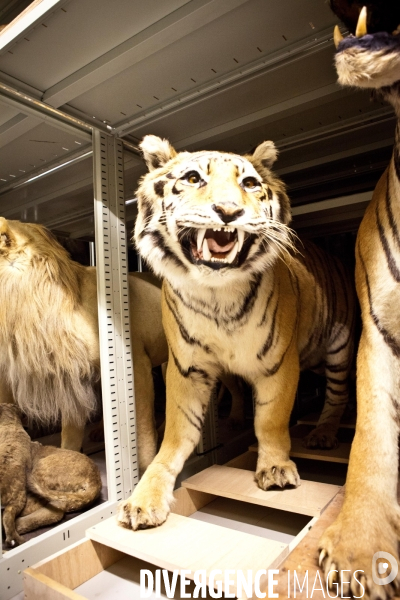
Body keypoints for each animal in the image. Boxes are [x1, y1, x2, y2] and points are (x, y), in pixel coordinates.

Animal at [117, 135, 354, 528]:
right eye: (193, 178)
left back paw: (322, 433)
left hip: (339, 347)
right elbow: (175, 436)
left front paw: (275, 467)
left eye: (250, 183)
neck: (217, 298)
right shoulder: (187, 370)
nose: (228, 212)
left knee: (337, 396)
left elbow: (271, 420)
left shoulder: (279, 363)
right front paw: (143, 498)